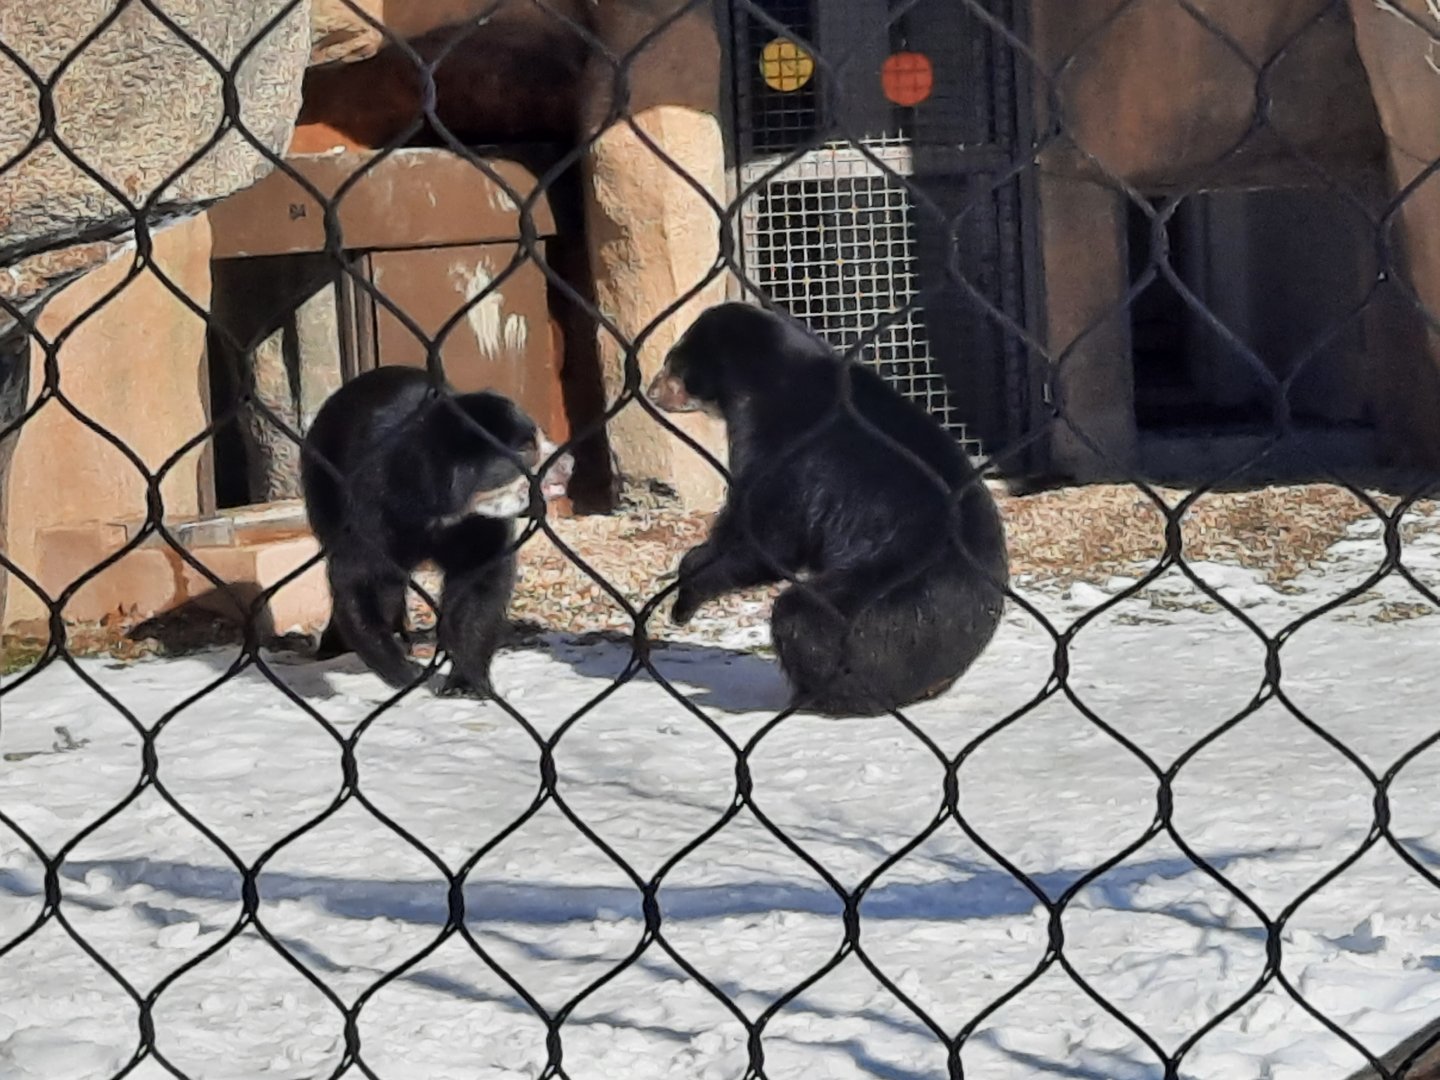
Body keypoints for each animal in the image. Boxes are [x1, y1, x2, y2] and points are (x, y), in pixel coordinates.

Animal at [301, 366, 573, 698]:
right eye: (526, 449)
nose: (569, 463)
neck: (435, 511)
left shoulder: (477, 525)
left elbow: (480, 588)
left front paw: (466, 683)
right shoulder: (366, 513)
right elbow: (359, 582)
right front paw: (404, 671)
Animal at [645, 302, 1010, 717]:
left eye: (673, 360)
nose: (652, 391)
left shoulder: (783, 448)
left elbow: (765, 539)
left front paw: (684, 595)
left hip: (890, 593)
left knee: (804, 617)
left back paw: (823, 696)